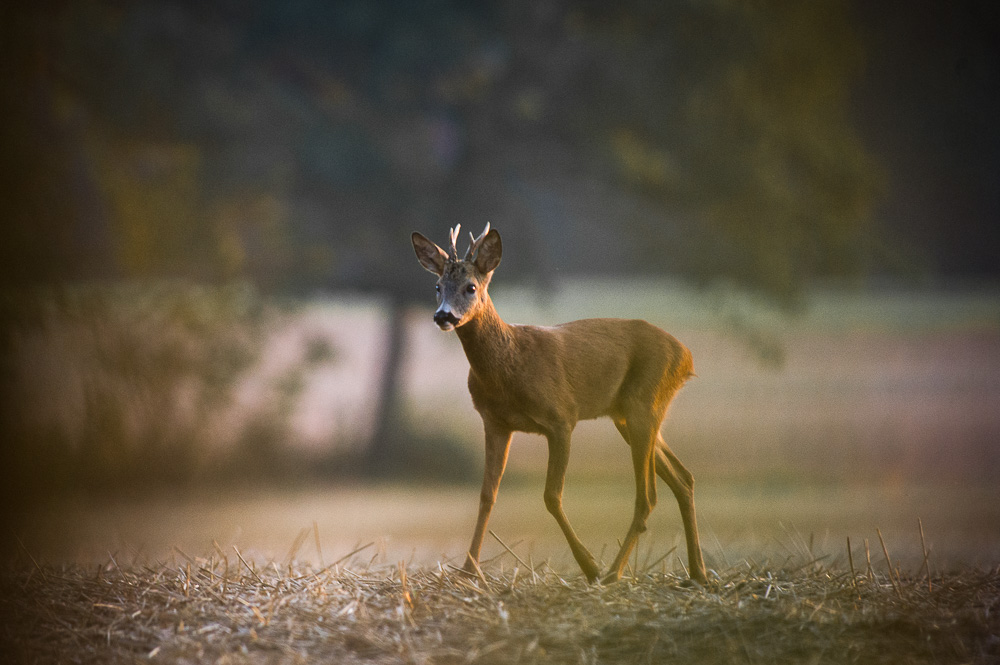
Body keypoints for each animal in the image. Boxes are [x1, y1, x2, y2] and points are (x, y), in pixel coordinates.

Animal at [410, 223, 708, 580]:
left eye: (471, 287)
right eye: (437, 286)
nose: (443, 316)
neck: (509, 365)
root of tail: (687, 356)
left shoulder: (562, 417)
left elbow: (552, 496)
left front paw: (590, 566)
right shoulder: (495, 422)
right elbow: (487, 495)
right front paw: (468, 571)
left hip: (644, 402)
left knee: (648, 495)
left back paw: (612, 574)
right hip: (628, 415)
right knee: (683, 478)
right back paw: (697, 573)